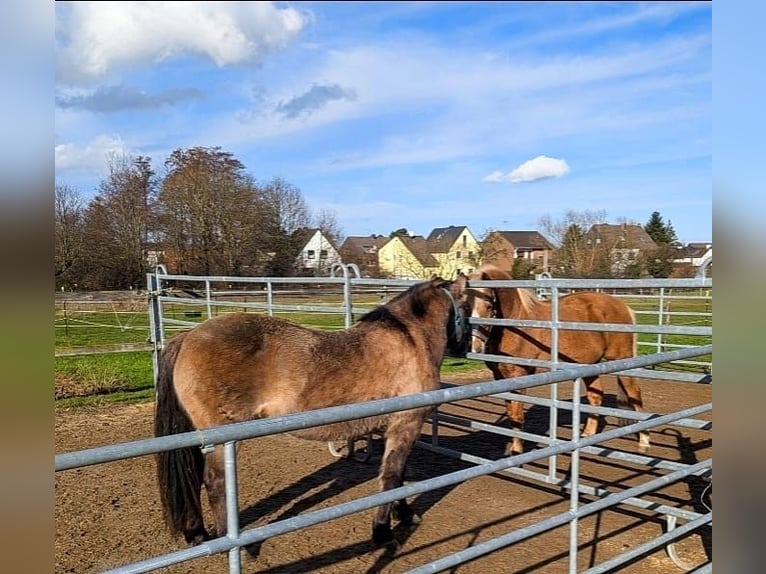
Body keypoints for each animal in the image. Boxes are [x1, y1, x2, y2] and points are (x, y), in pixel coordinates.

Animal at [154, 275, 468, 549]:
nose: (465, 347)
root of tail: (188, 336)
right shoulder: (406, 426)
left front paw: (404, 516)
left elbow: (399, 477)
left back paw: (197, 534)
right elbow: (392, 478)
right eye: (469, 307)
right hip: (224, 438)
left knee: (193, 477)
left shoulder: (394, 430)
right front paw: (383, 535)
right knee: (215, 482)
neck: (410, 340)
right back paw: (232, 542)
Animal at [462, 264, 648, 455]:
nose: (474, 346)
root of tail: (623, 306)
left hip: (622, 361)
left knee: (634, 394)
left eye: (489, 305)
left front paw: (517, 450)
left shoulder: (519, 374)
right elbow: (511, 411)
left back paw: (644, 442)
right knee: (595, 396)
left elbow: (517, 414)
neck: (517, 323)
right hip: (590, 365)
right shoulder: (500, 377)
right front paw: (512, 447)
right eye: (465, 305)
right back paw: (586, 436)